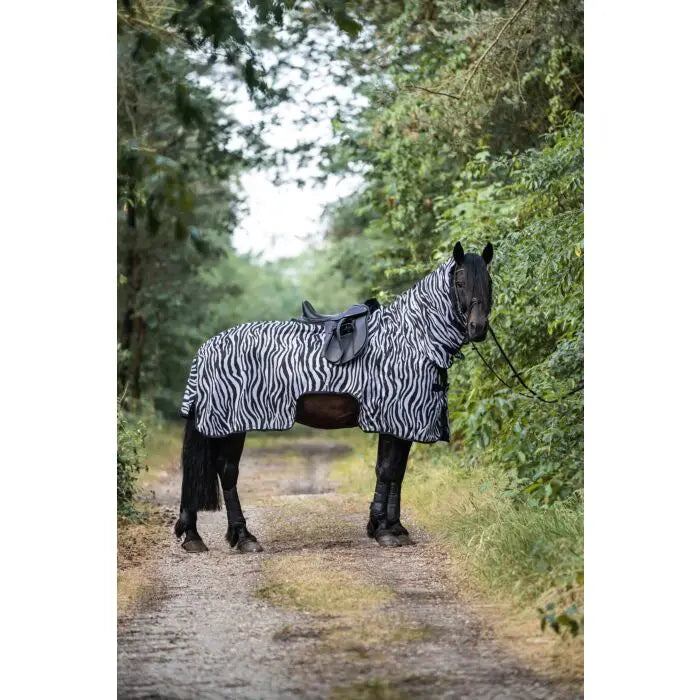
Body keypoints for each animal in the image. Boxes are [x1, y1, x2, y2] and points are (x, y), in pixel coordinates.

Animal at [175, 241, 493, 551]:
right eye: (460, 282)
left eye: (489, 282)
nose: (477, 328)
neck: (411, 339)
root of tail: (206, 349)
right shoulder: (392, 417)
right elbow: (387, 470)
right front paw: (383, 530)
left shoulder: (403, 424)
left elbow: (397, 472)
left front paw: (394, 527)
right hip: (233, 425)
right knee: (227, 472)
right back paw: (242, 537)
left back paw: (193, 536)